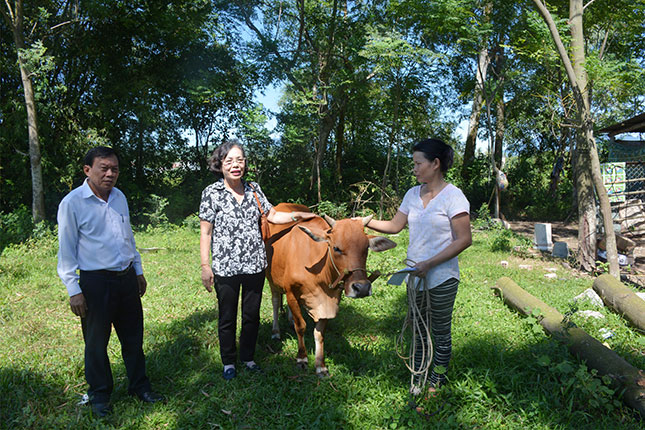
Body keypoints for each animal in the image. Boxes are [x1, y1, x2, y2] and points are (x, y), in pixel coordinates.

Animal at [264, 203, 394, 374]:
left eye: (366, 248)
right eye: (336, 248)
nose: (362, 288)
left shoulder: (327, 300)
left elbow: (319, 333)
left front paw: (320, 365)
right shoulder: (291, 290)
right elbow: (301, 326)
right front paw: (302, 357)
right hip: (271, 278)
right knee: (275, 300)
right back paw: (275, 332)